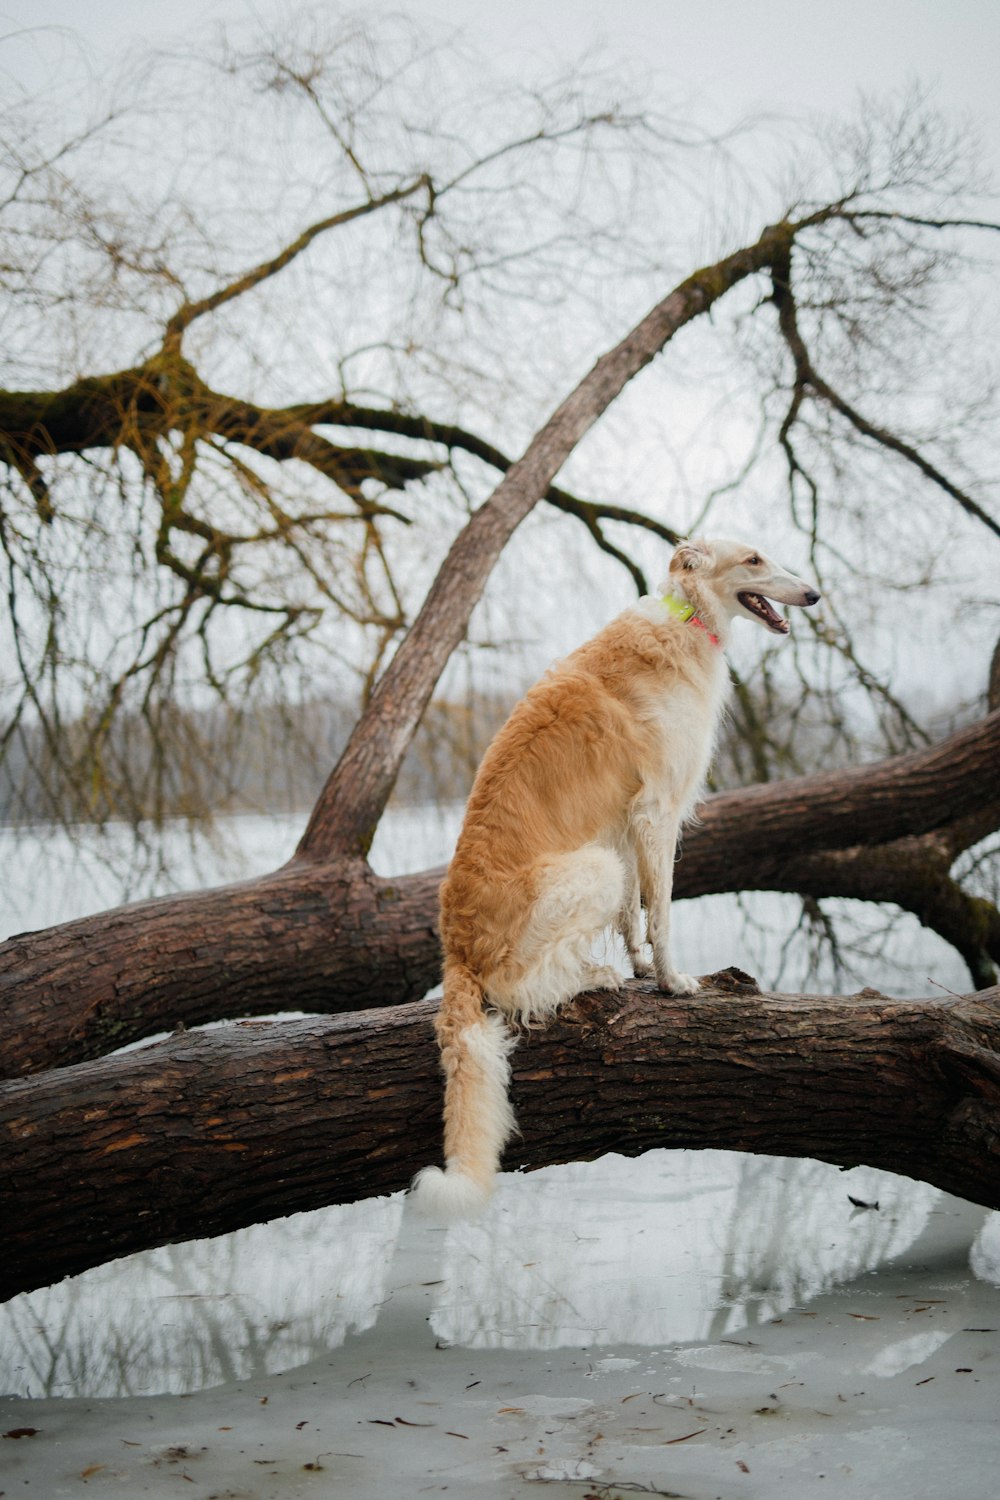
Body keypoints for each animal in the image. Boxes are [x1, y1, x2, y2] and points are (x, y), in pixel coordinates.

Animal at [413, 540, 821, 1218]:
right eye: (754, 560)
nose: (814, 595)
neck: (686, 618)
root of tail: (458, 949)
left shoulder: (627, 824)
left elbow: (637, 914)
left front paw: (640, 966)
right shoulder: (656, 812)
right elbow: (663, 914)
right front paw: (674, 982)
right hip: (587, 873)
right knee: (518, 987)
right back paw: (590, 977)